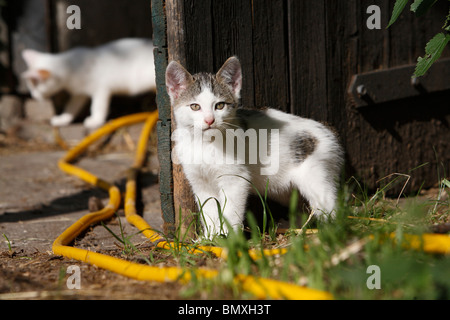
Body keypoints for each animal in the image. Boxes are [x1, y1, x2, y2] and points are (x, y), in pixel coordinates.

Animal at [22, 37, 156, 127]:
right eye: (31, 87)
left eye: (35, 86)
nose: (33, 95)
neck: (71, 66)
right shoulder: (79, 94)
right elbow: (71, 107)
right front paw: (63, 119)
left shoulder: (101, 89)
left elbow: (97, 106)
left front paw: (96, 120)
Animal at [166, 57, 344, 238]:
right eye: (195, 106)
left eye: (220, 105)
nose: (209, 120)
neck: (205, 144)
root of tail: (328, 130)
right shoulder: (200, 182)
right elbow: (208, 210)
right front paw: (211, 237)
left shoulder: (236, 179)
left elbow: (231, 210)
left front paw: (230, 237)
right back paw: (294, 226)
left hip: (316, 177)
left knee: (330, 206)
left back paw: (334, 231)